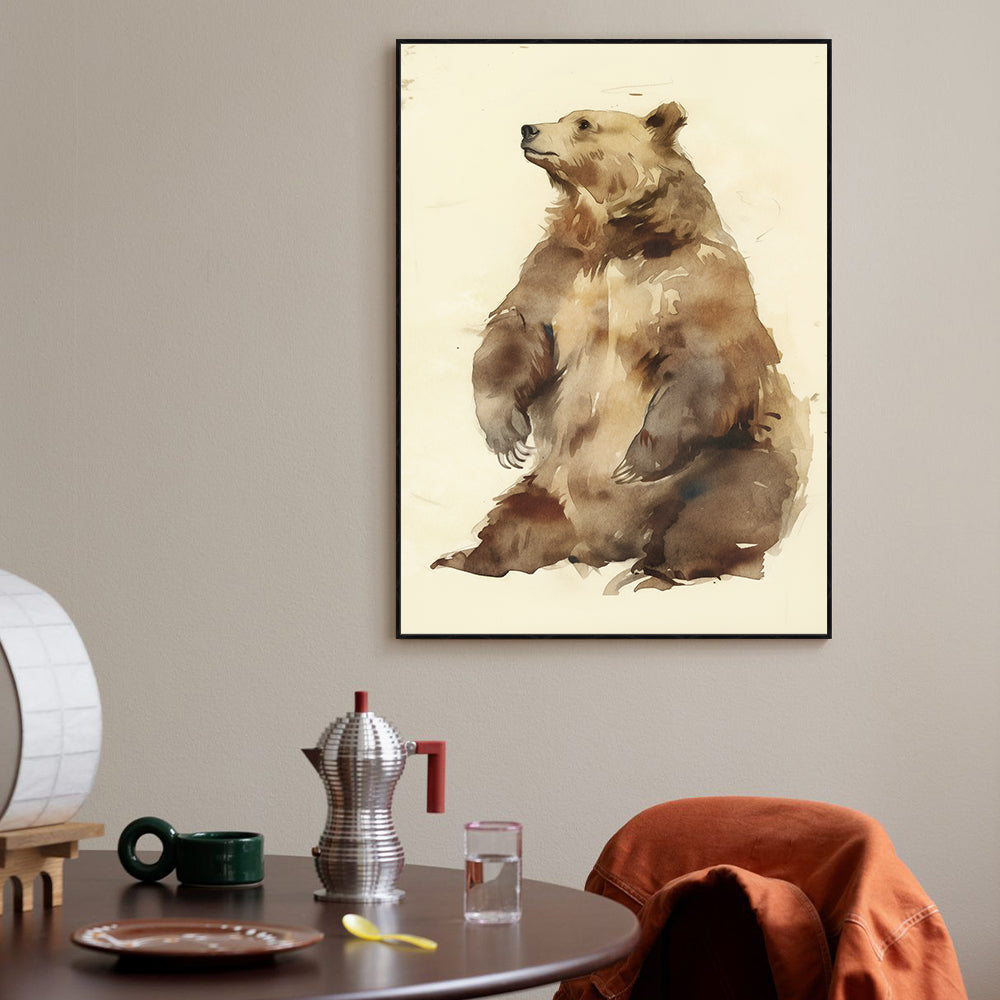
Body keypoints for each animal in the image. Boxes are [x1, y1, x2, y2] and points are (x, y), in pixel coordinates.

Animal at [432, 102, 810, 593]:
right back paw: (464, 559)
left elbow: (710, 358)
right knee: (515, 521)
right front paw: (506, 433)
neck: (616, 238)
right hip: (550, 488)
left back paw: (660, 572)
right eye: (565, 116)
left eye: (583, 123)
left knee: (720, 515)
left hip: (735, 461)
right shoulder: (559, 269)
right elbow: (519, 327)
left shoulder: (693, 278)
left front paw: (636, 460)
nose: (528, 128)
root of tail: (606, 542)